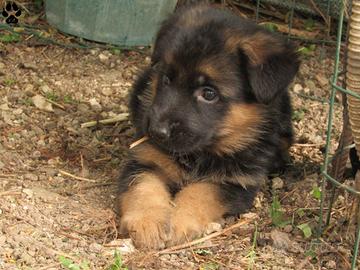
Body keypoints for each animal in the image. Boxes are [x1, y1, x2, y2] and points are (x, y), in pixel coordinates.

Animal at [116, 4, 300, 249]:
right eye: (166, 79)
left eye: (209, 94)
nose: (156, 132)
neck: (200, 154)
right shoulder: (145, 160)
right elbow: (142, 187)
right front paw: (147, 222)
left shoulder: (235, 182)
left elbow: (201, 191)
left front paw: (180, 221)